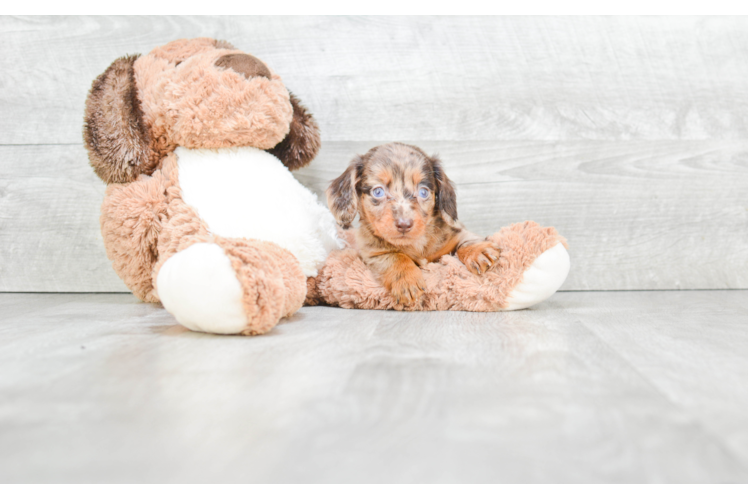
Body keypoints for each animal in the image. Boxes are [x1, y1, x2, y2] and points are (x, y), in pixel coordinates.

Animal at [328, 141, 502, 304]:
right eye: (378, 191)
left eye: (423, 192)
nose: (404, 224)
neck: (415, 243)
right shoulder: (372, 254)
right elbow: (395, 257)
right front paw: (407, 279)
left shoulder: (454, 233)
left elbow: (466, 240)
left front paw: (478, 250)